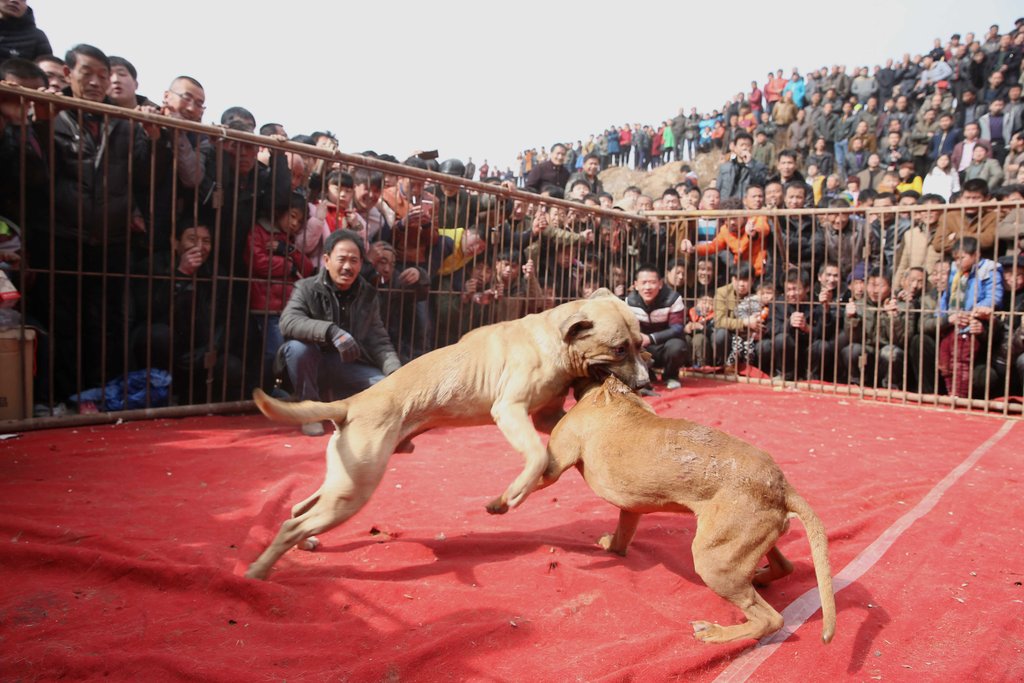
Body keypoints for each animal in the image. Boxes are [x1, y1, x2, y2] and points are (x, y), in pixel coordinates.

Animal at [245, 290, 647, 581]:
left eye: (642, 342)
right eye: (619, 348)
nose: (645, 383)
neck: (553, 340)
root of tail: (351, 402)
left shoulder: (546, 417)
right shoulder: (509, 410)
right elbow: (536, 456)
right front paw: (512, 496)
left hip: (343, 479)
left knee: (298, 508)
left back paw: (303, 544)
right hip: (353, 489)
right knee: (291, 523)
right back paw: (258, 572)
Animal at [540, 376, 835, 643]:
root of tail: (783, 486)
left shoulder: (552, 467)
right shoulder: (631, 509)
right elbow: (622, 536)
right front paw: (611, 545)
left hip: (713, 560)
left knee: (770, 619)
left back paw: (716, 633)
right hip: (742, 541)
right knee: (784, 567)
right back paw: (760, 578)